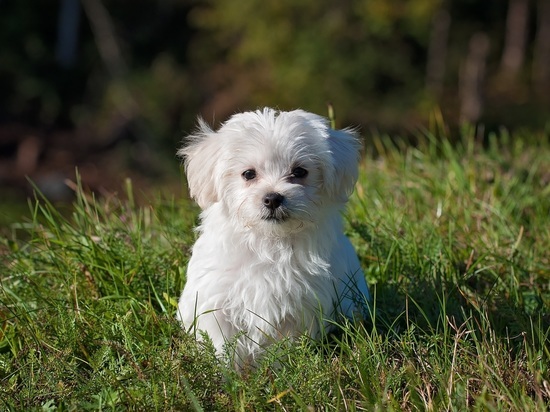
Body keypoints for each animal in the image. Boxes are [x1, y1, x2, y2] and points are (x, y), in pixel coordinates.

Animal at [177, 107, 370, 366]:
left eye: (299, 172)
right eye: (248, 174)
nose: (272, 198)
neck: (269, 242)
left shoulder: (299, 307)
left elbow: (284, 345)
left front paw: (279, 368)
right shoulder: (216, 301)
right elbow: (222, 343)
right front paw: (226, 372)